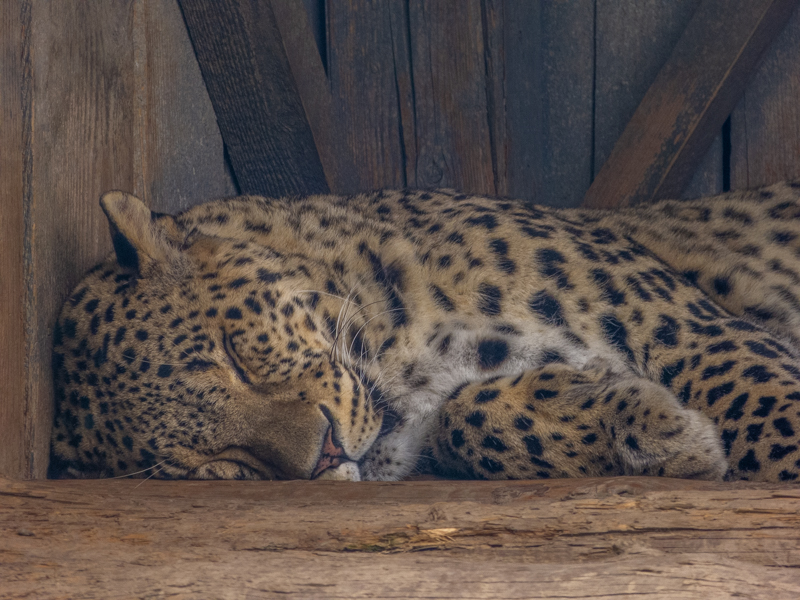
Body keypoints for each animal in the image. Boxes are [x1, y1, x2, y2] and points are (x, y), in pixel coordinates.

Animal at [49, 182, 800, 483]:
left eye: (235, 354)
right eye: (212, 463)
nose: (327, 456)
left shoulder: (690, 331)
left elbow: (768, 417)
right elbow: (467, 417)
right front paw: (652, 431)